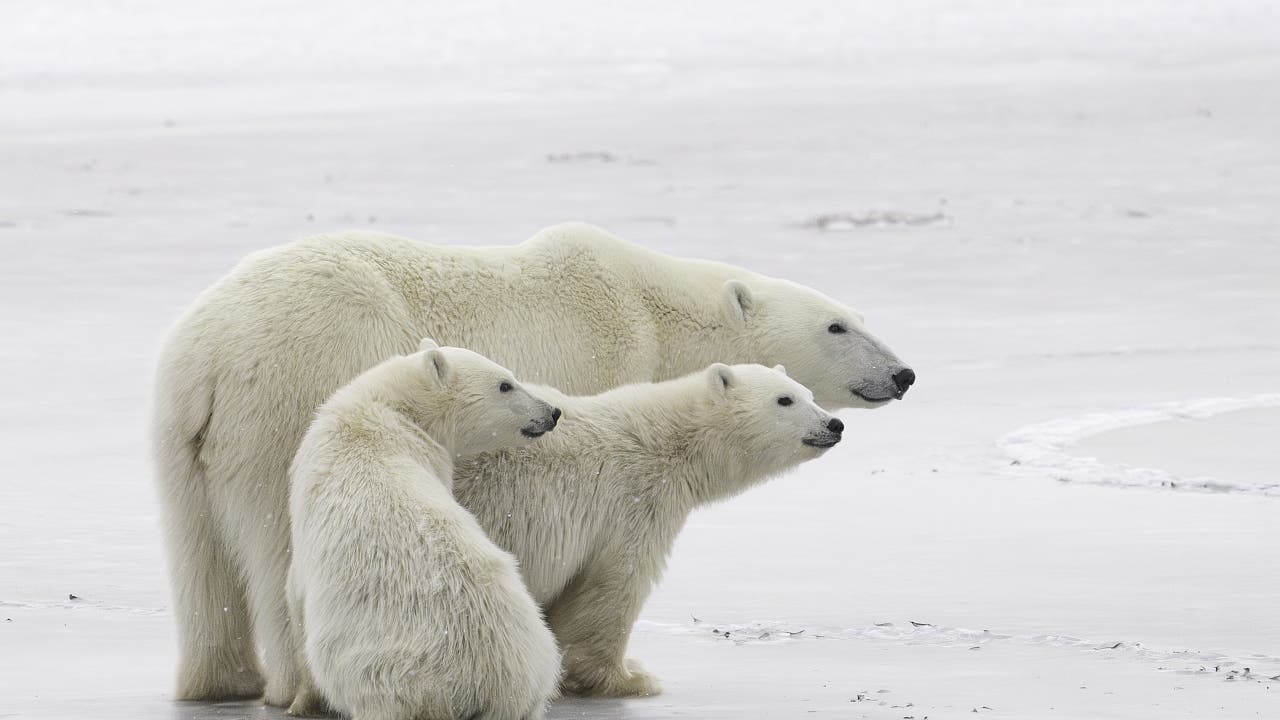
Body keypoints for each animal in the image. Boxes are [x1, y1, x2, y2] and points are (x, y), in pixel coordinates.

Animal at [154, 219, 916, 702]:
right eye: (836, 325)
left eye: (857, 316)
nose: (904, 373)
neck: (651, 310)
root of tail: (211, 354)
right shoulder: (601, 357)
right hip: (290, 393)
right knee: (281, 542)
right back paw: (298, 683)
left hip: (180, 433)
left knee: (200, 556)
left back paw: (222, 681)